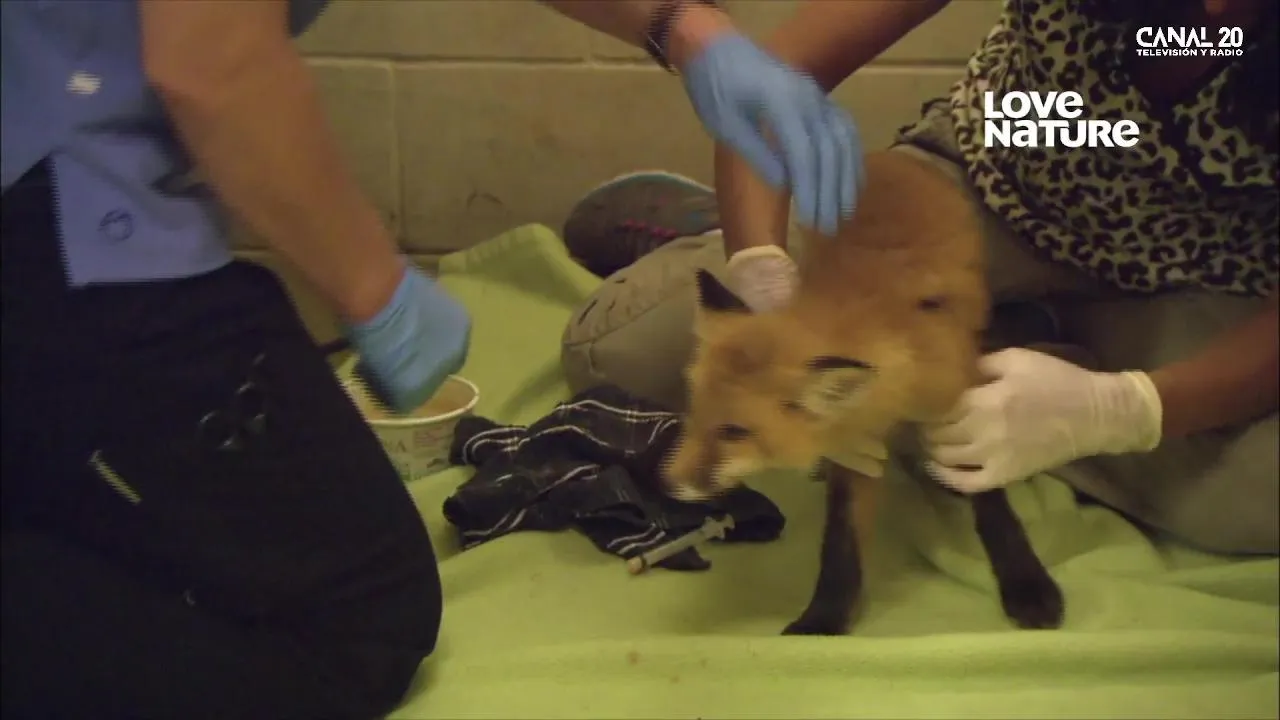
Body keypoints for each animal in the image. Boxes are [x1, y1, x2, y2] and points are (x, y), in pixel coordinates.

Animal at [663, 149, 1065, 636]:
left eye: (734, 432)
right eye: (694, 413)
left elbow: (992, 503)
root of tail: (888, 156)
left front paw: (1025, 582)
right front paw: (823, 618)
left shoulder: (962, 403)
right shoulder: (855, 442)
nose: (668, 482)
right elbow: (841, 542)